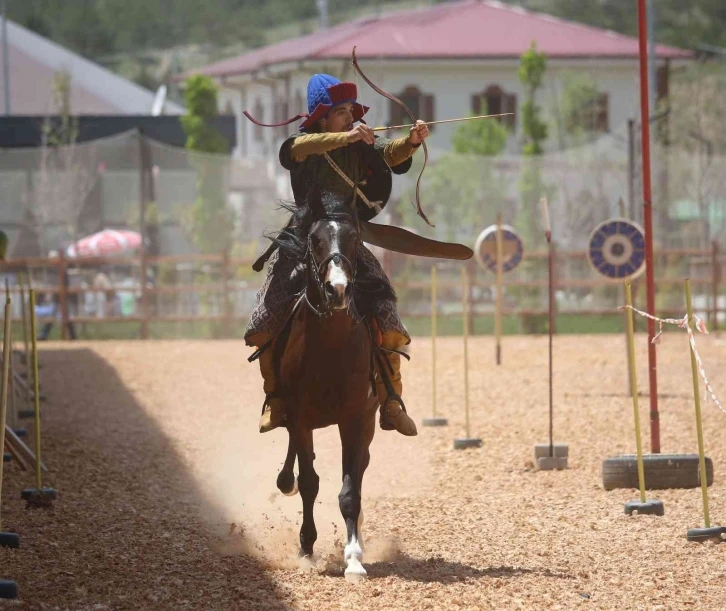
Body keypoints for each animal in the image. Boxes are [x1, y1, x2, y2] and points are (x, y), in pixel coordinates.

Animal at [264, 190, 396, 584]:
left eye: (354, 239)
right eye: (315, 240)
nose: (337, 289)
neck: (331, 351)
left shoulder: (356, 419)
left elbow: (350, 490)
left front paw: (353, 558)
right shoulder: (300, 418)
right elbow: (309, 482)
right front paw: (306, 549)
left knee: (360, 467)